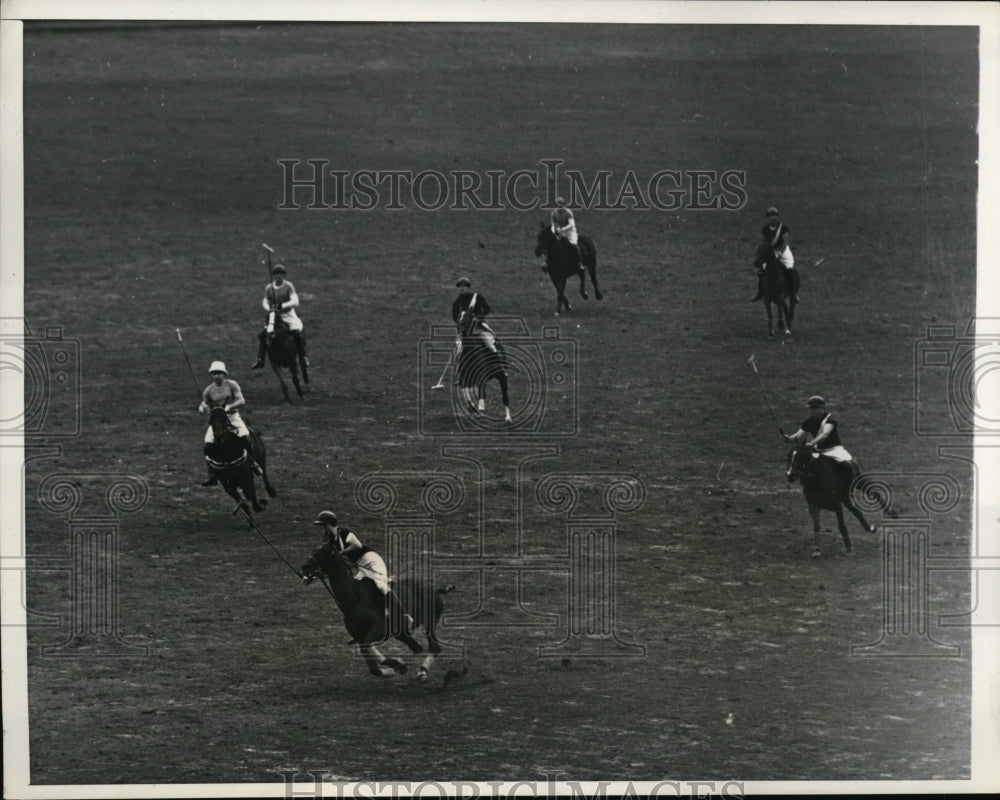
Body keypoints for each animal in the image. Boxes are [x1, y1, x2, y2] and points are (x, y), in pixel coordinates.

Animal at [296, 536, 454, 680]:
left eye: (324, 551)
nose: (304, 568)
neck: (354, 597)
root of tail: (434, 589)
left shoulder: (377, 628)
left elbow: (367, 650)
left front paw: (392, 668)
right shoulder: (360, 635)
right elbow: (368, 654)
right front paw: (395, 666)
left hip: (430, 621)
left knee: (434, 647)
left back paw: (422, 672)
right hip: (401, 632)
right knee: (416, 645)